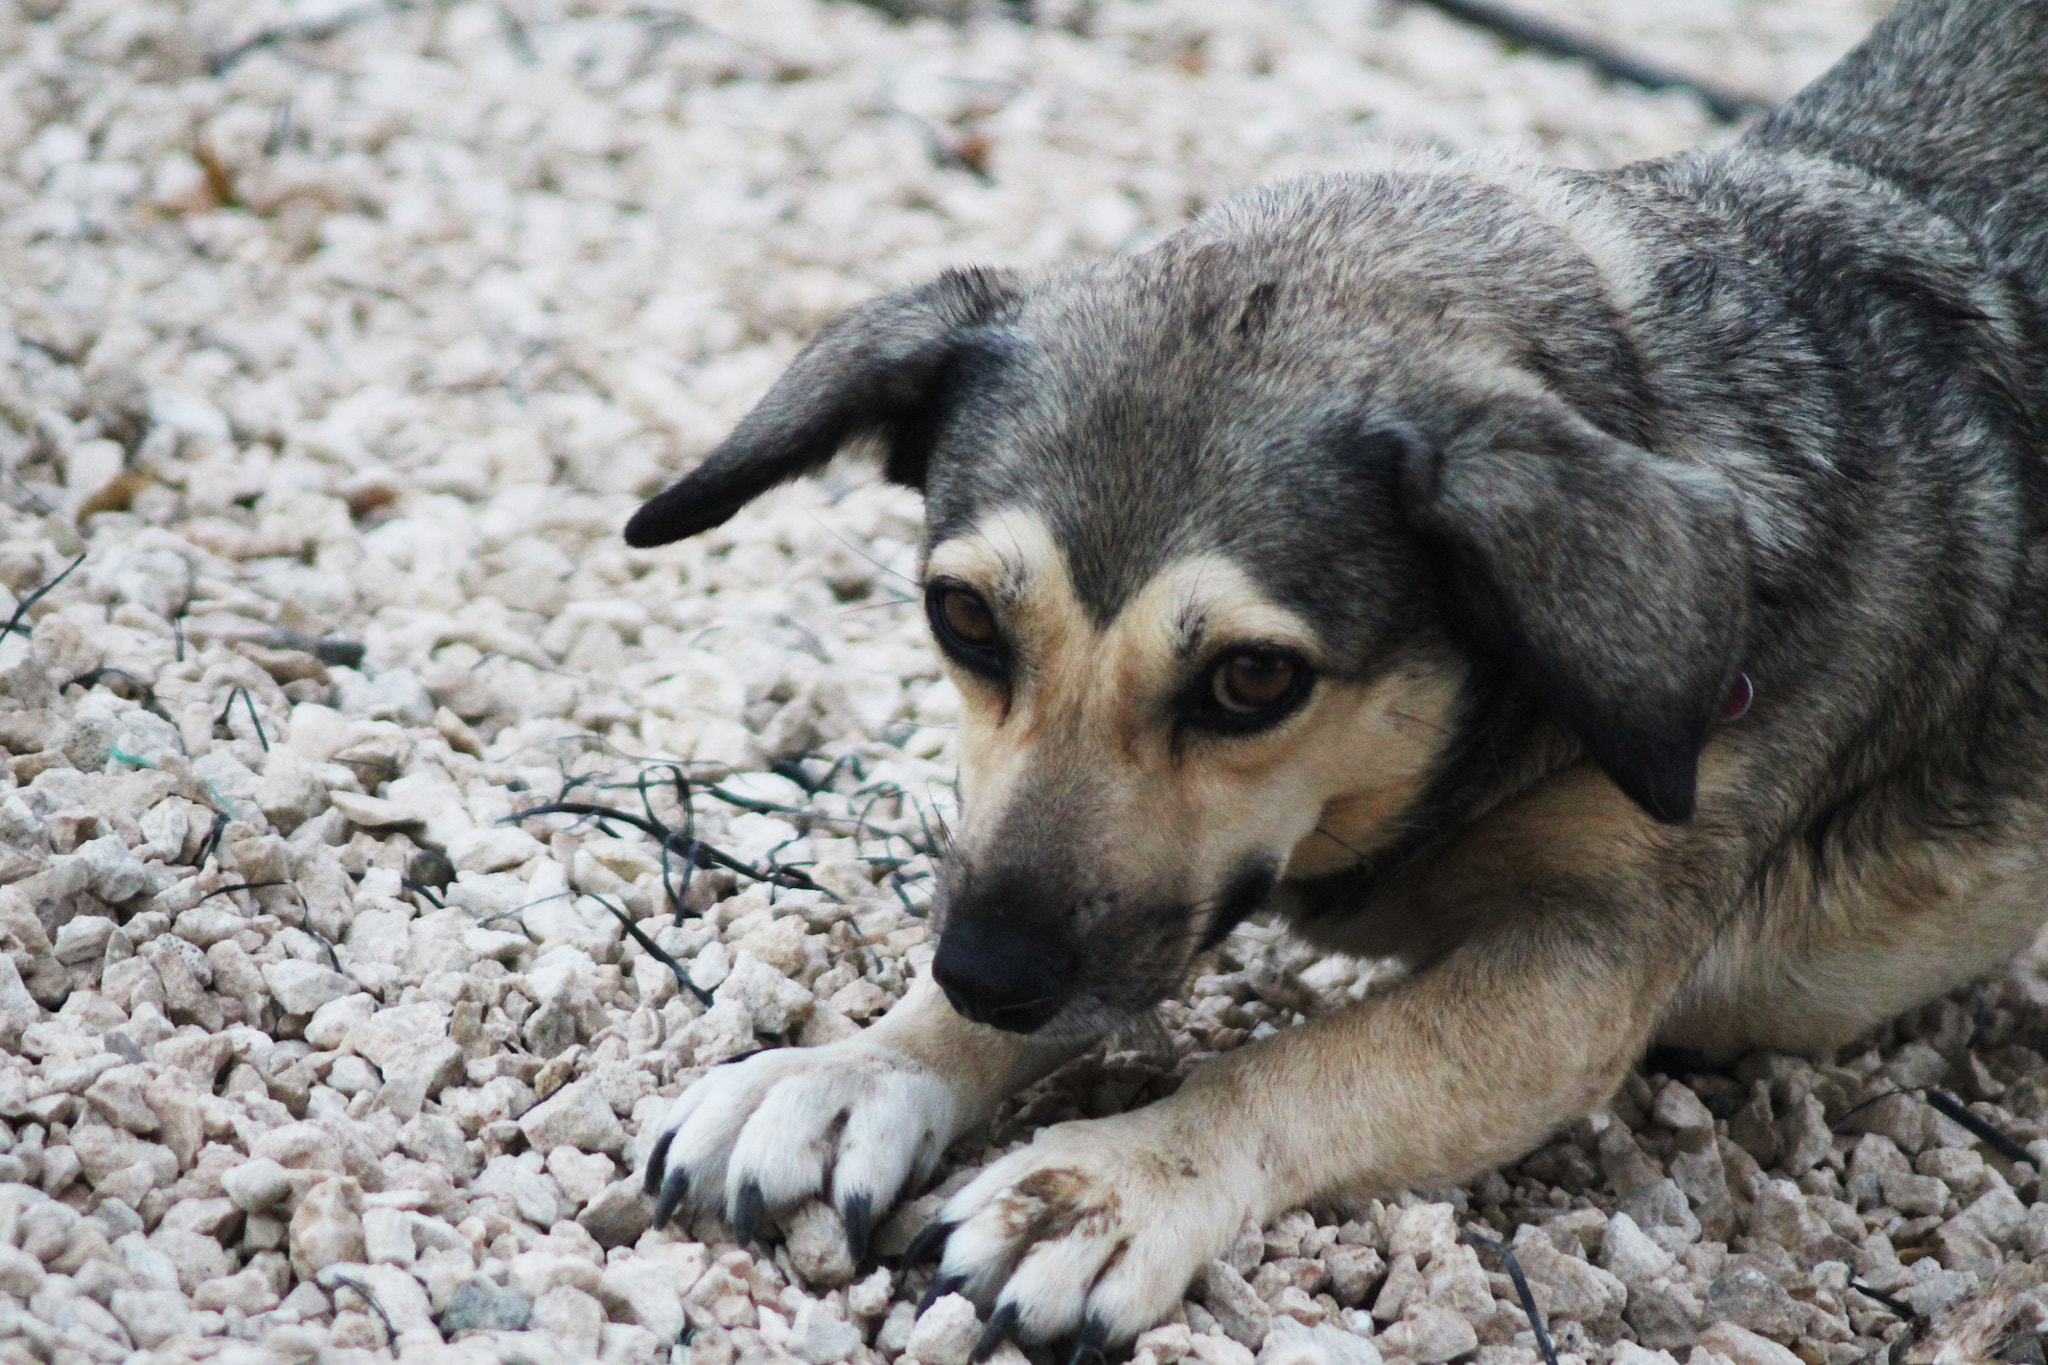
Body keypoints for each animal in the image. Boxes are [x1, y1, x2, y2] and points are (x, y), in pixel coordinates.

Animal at [618, 0, 2048, 1350]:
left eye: (1252, 680)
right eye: (962, 616)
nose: (989, 976)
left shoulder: (1572, 972)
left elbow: (1288, 1070)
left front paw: (1108, 1180)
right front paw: (856, 1067)